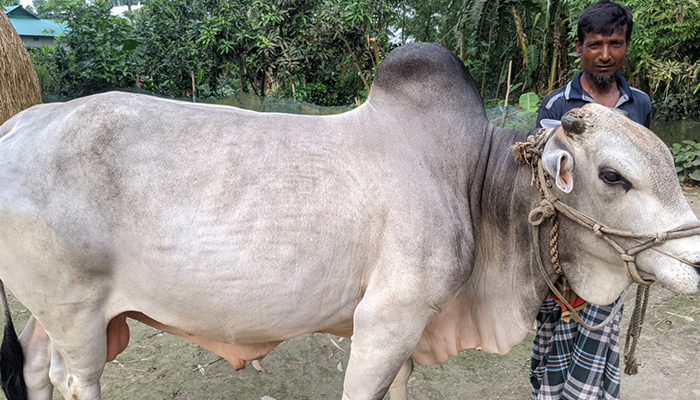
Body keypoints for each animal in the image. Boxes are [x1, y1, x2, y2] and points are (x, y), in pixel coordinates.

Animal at [1, 42, 700, 398]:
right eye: (613, 176)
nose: (695, 260)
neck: (473, 180)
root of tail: (20, 123)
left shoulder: (411, 334)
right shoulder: (385, 322)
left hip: (59, 311)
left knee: (35, 368)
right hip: (77, 315)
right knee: (74, 380)